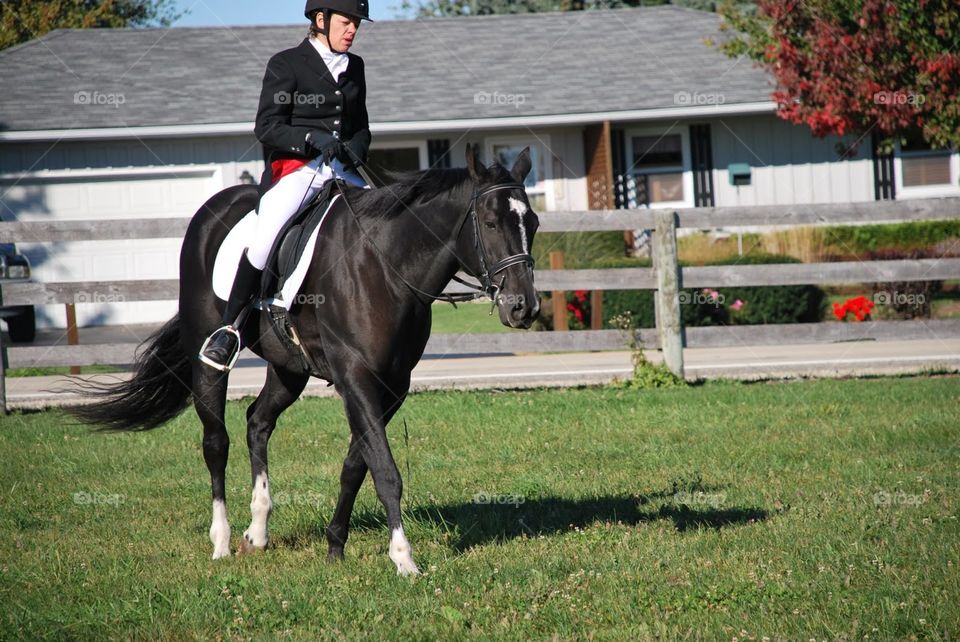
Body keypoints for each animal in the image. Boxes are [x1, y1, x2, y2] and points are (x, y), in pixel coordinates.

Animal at [68, 144, 540, 575]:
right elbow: (385, 469)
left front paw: (335, 546)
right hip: (207, 360)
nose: (524, 307)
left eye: (532, 223)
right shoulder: (356, 377)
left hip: (288, 370)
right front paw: (404, 559)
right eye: (491, 222)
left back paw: (257, 531)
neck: (383, 265)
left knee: (258, 423)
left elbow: (357, 464)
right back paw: (221, 541)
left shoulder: (392, 386)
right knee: (216, 442)